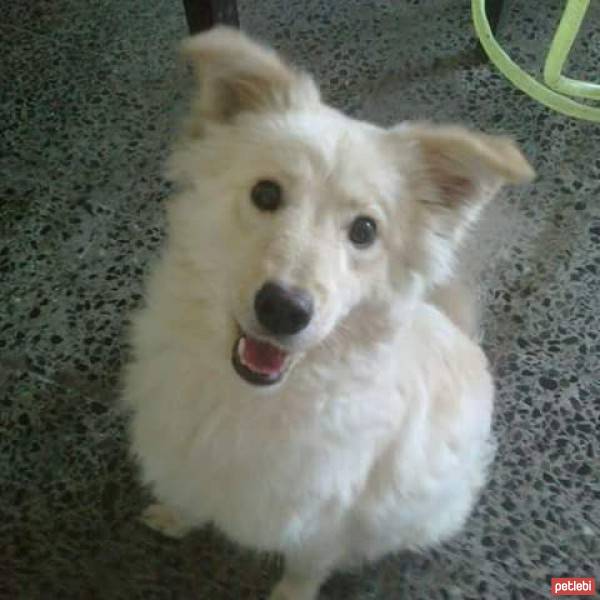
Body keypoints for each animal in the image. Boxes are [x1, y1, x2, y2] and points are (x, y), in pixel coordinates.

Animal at [122, 28, 536, 600]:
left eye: (364, 230)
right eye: (266, 193)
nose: (283, 309)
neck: (251, 398)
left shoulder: (326, 523)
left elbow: (304, 568)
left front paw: (289, 594)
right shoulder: (186, 449)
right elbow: (188, 492)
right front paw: (174, 515)